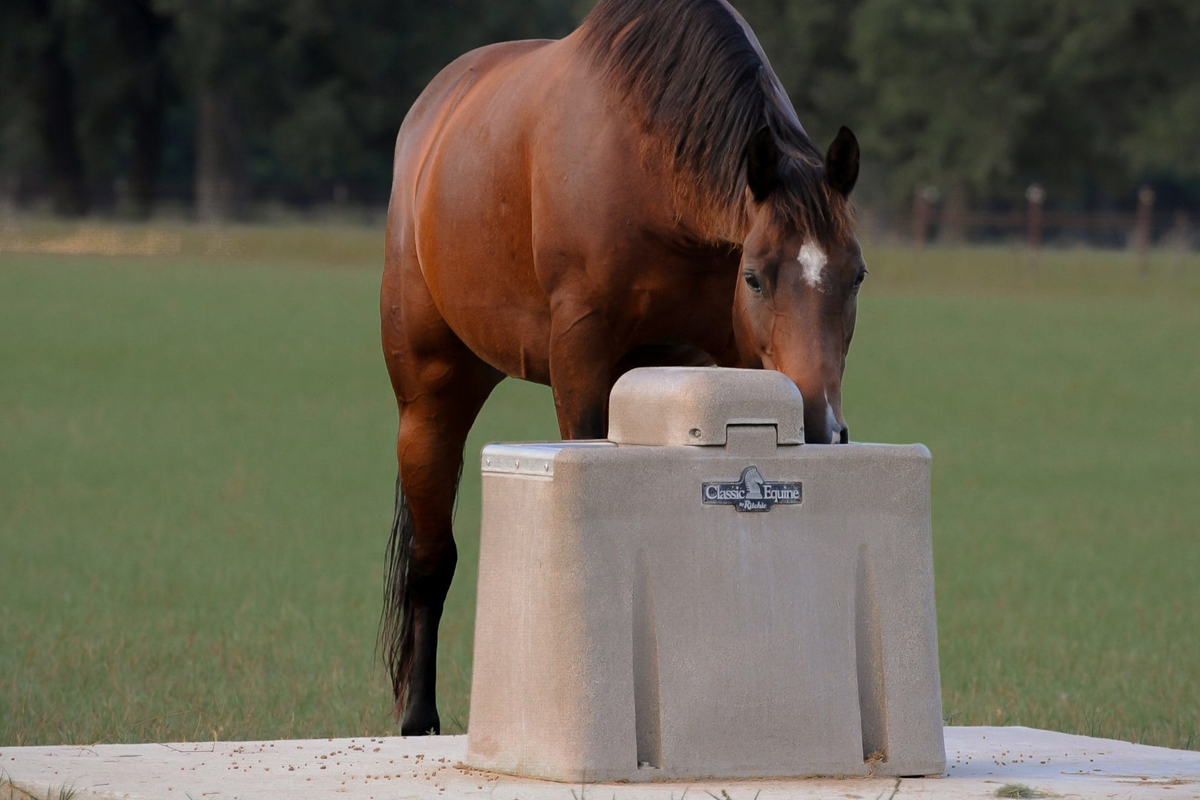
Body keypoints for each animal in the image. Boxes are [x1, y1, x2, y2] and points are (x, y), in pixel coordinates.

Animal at [380, 0, 867, 735]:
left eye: (857, 275)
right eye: (755, 276)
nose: (820, 425)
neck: (652, 168)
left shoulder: (732, 362)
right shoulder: (581, 359)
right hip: (431, 394)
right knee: (431, 557)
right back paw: (418, 720)